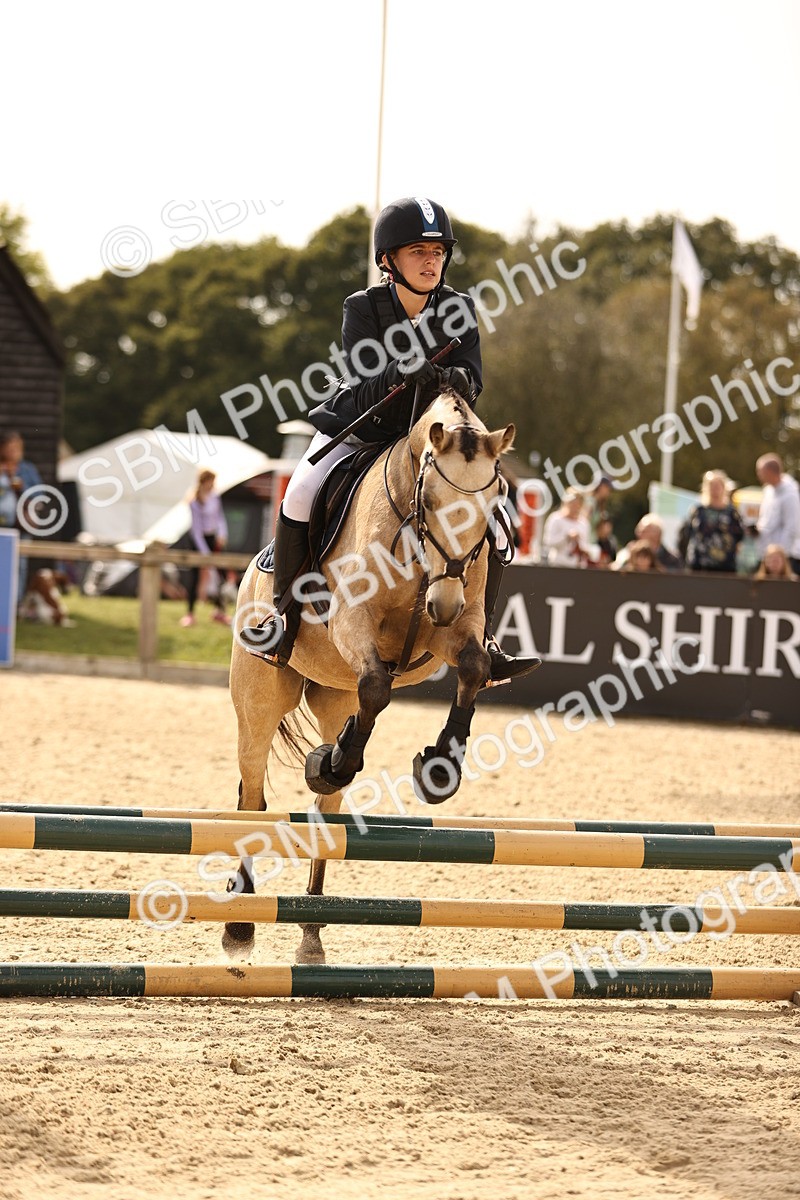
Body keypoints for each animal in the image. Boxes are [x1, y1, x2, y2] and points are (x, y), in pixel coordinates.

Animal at [226, 389, 515, 963]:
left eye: (492, 507)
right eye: (430, 502)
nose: (442, 605)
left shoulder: (455, 626)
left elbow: (472, 668)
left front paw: (438, 770)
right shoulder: (352, 621)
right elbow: (379, 685)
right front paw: (335, 762)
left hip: (335, 692)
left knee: (326, 809)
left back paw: (312, 932)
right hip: (260, 701)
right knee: (252, 794)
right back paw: (240, 923)